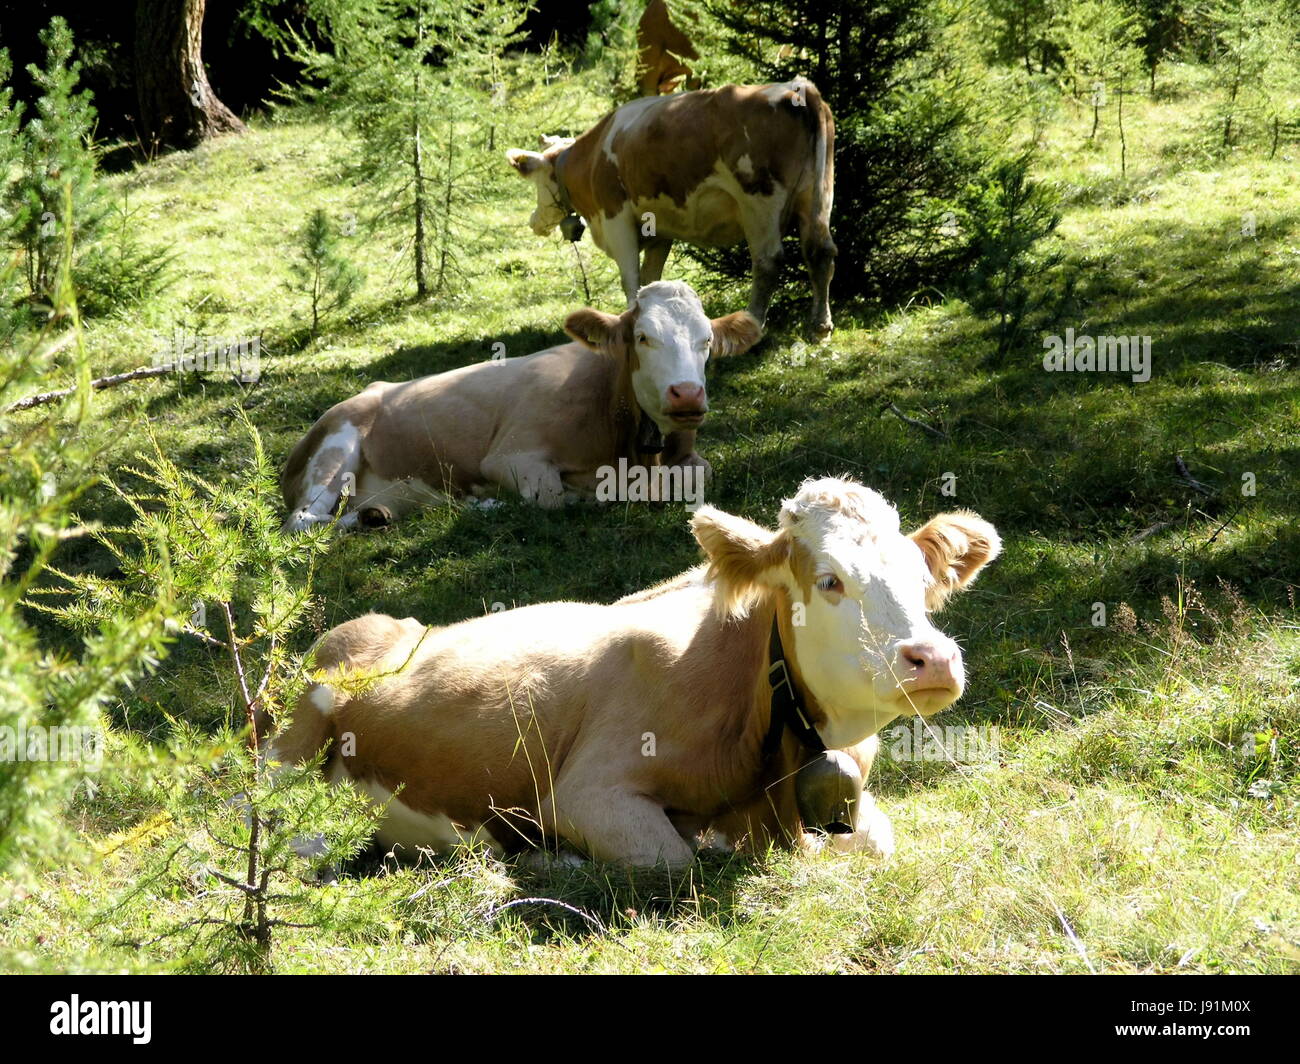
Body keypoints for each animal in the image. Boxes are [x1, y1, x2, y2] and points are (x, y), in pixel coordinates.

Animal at [263, 476, 998, 868]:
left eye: (922, 579)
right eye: (830, 581)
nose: (932, 659)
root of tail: (379, 625)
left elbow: (878, 839)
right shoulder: (588, 791)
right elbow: (677, 856)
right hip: (288, 750)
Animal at [279, 282, 759, 530]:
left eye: (707, 341)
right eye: (643, 337)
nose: (688, 394)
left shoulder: (687, 457)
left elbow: (702, 472)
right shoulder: (511, 455)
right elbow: (555, 498)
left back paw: (378, 514)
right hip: (336, 449)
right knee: (304, 519)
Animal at [501, 78, 837, 335]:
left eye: (535, 181)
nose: (533, 221)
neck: (592, 157)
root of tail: (795, 88)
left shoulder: (616, 218)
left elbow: (630, 279)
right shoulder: (659, 229)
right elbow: (650, 279)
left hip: (758, 200)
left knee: (767, 261)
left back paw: (753, 322)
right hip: (818, 193)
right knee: (820, 251)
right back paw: (820, 326)